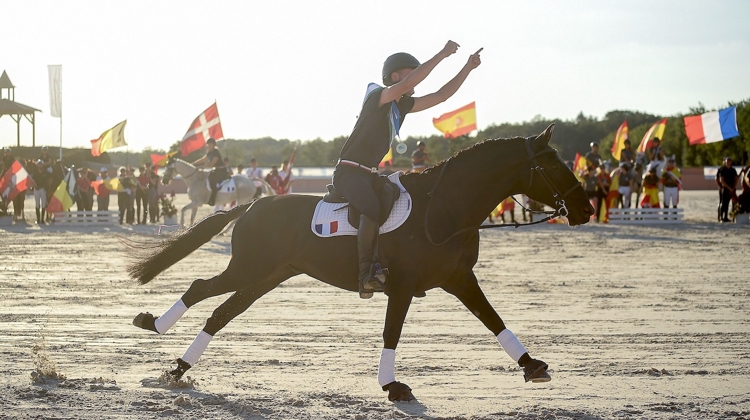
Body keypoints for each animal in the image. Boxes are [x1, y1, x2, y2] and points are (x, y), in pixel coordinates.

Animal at [131, 124, 600, 400]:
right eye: (553, 164)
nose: (587, 208)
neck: (444, 208)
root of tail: (252, 205)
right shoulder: (403, 285)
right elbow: (392, 333)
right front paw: (392, 385)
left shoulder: (459, 278)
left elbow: (493, 319)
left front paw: (532, 366)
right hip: (251, 269)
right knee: (201, 290)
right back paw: (154, 325)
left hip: (268, 276)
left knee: (221, 312)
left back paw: (178, 368)